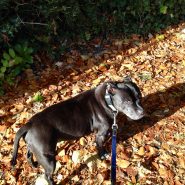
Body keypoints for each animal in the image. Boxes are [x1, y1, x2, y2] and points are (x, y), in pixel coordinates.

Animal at [11, 76, 145, 184]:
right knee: (47, 175)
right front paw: (103, 155)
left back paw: (34, 165)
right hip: (48, 158)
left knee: (29, 156)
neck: (107, 99)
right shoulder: (100, 134)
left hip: (34, 147)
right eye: (127, 101)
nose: (142, 112)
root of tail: (29, 124)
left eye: (139, 96)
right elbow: (100, 145)